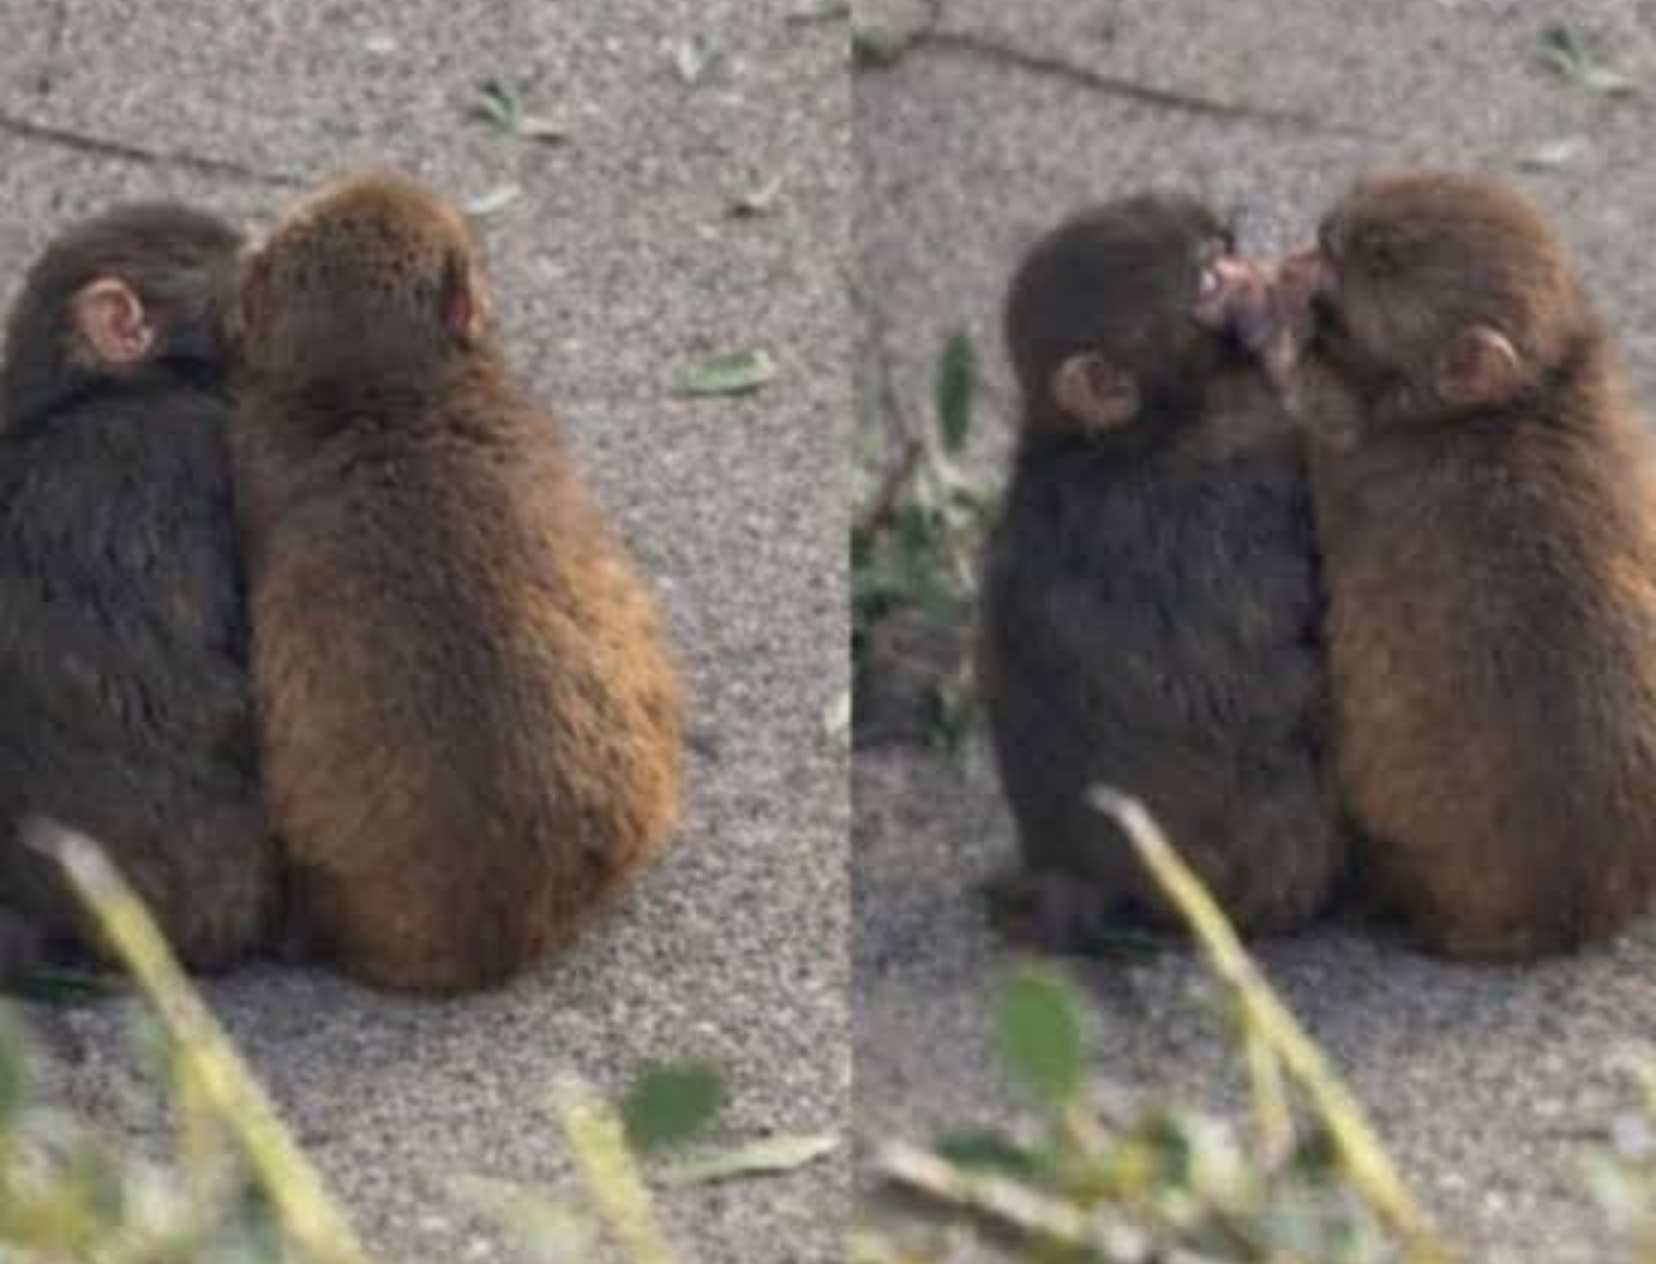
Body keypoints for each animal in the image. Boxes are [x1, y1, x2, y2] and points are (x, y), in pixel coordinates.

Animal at [976, 193, 1348, 952]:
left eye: (1225, 249)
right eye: (1208, 278)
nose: (1264, 273)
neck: (1114, 441)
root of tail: (1074, 876)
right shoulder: (1233, 484)